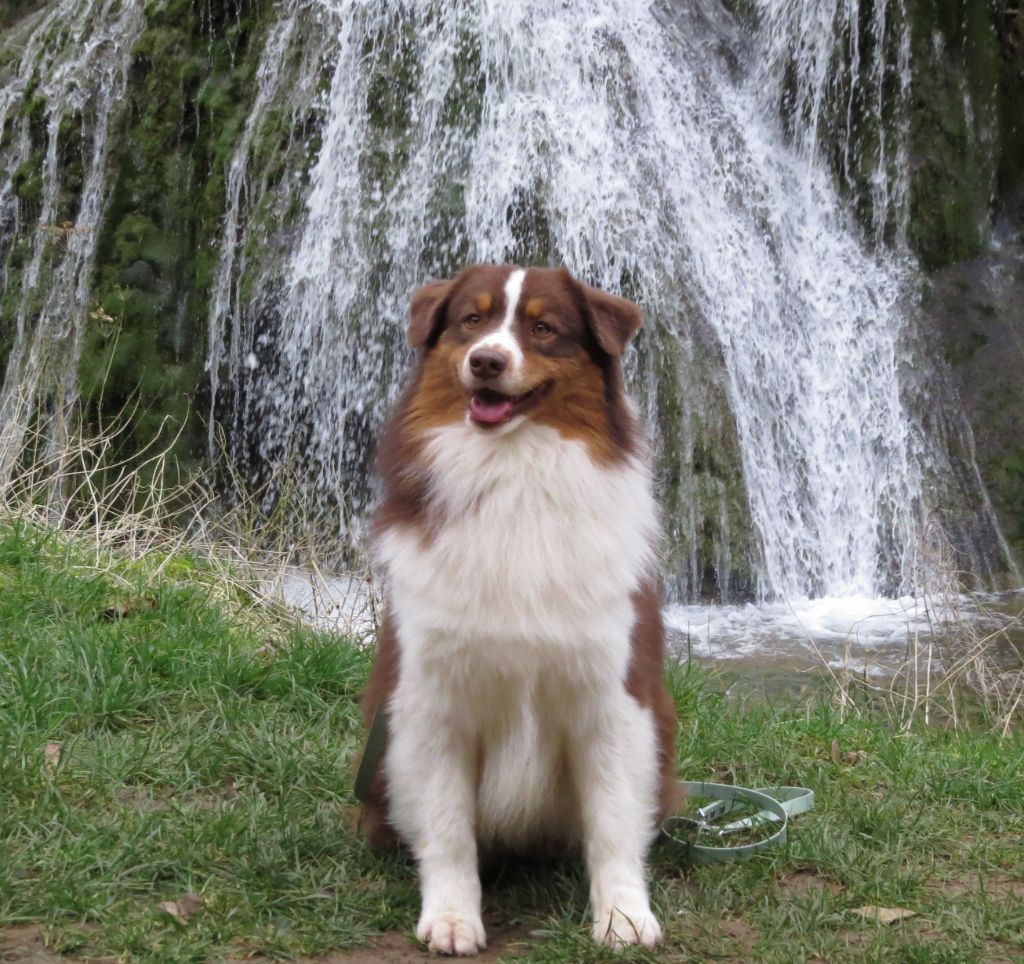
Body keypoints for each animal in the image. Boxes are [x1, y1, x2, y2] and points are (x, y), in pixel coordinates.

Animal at [360, 259, 679, 950]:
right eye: (471, 320)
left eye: (543, 328)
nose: (485, 361)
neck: (516, 473)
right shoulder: (432, 697)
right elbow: (447, 825)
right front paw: (452, 916)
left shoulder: (612, 693)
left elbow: (614, 819)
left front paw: (622, 913)